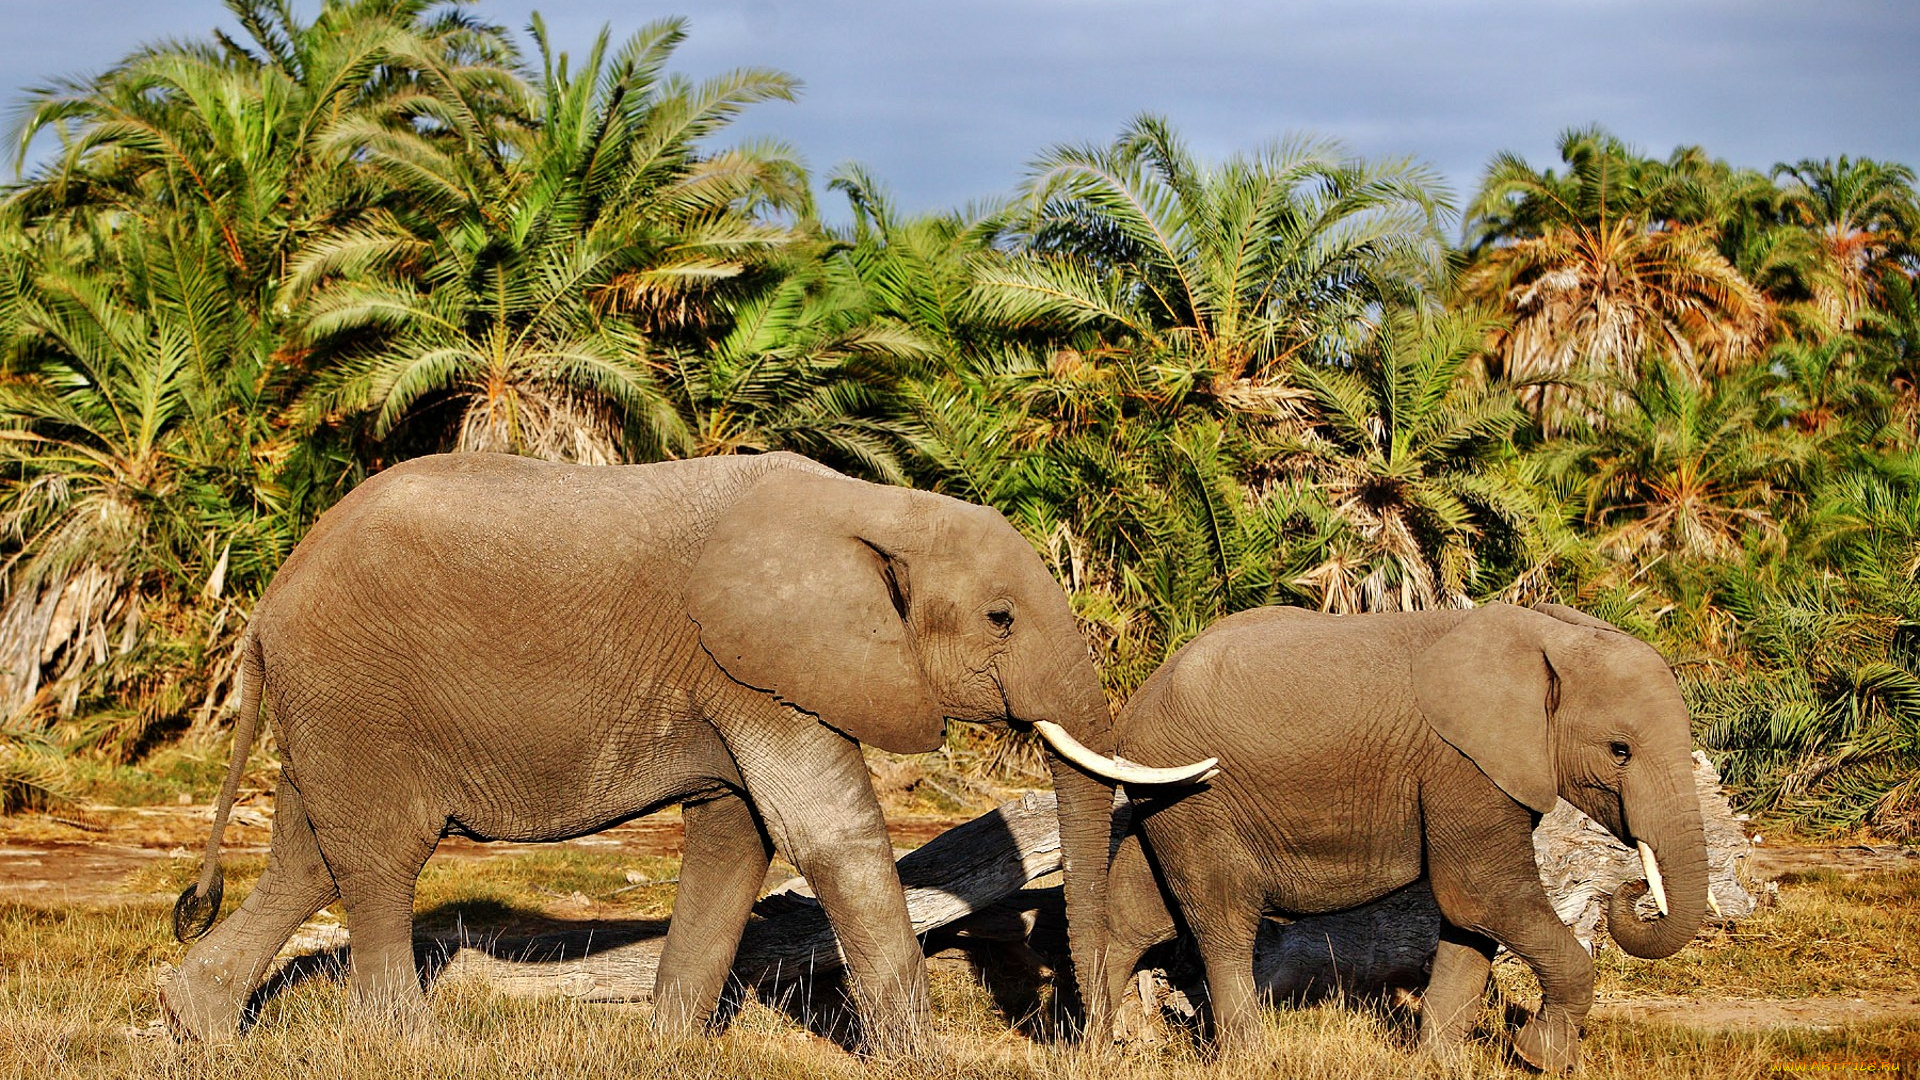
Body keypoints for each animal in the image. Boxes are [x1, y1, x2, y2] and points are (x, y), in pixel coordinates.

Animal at [168, 449, 1213, 1045]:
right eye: (1000, 618)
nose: (1099, 1041)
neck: (881, 506)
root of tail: (267, 602)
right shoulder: (755, 666)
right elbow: (824, 833)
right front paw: (921, 1062)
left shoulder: (742, 681)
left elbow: (736, 834)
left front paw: (668, 1049)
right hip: (359, 693)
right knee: (382, 861)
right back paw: (408, 1049)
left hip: (332, 708)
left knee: (308, 860)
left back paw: (199, 1030)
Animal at [1105, 599, 1704, 1060]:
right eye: (1620, 751)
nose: (1634, 887)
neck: (1548, 637)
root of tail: (1138, 701)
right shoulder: (1461, 765)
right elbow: (1483, 895)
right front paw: (1540, 1058)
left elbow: (1471, 919)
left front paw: (1440, 1061)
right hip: (1197, 794)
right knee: (1224, 924)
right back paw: (1251, 1057)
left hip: (1165, 798)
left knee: (1137, 916)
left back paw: (1098, 1048)